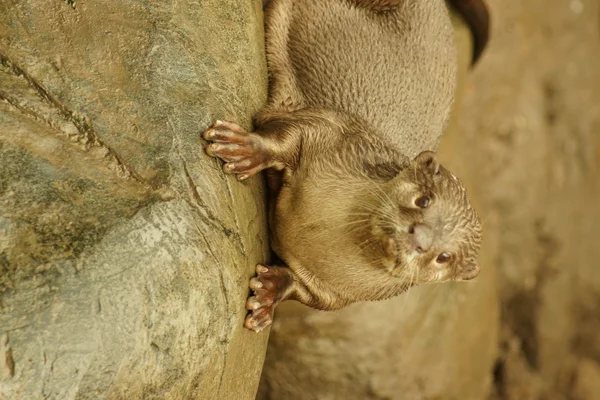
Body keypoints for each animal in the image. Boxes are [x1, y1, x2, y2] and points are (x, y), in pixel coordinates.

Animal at [202, 0, 488, 332]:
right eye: (424, 200)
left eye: (444, 256)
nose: (420, 238)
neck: (319, 232)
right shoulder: (332, 132)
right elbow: (287, 134)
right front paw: (243, 148)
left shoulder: (335, 295)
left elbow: (300, 288)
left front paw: (267, 296)